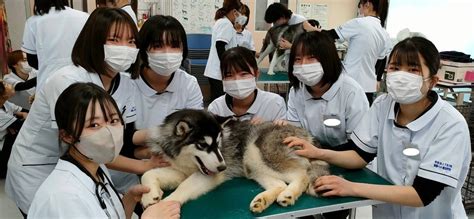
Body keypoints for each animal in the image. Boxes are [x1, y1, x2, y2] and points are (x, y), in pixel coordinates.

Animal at [141, 109, 330, 212]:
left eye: (219, 143)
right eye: (202, 145)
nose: (223, 167)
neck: (189, 162)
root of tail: (305, 133)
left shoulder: (208, 175)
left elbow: (184, 187)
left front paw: (163, 206)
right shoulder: (180, 170)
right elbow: (147, 174)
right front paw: (150, 195)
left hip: (256, 152)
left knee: (301, 175)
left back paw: (289, 194)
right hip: (254, 166)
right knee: (279, 184)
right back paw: (262, 200)